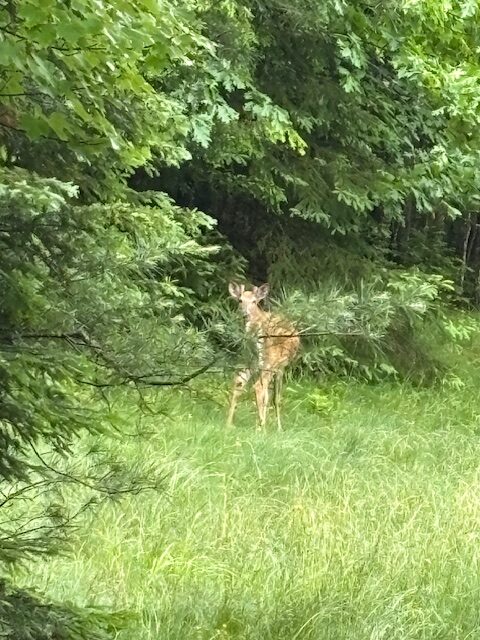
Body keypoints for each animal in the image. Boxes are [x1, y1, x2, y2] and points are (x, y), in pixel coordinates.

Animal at [227, 283, 300, 431]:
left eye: (254, 301)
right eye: (240, 300)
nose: (245, 314)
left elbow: (267, 397)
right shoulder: (280, 367)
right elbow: (275, 398)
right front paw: (279, 428)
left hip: (248, 359)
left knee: (239, 382)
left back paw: (229, 425)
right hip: (268, 361)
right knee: (259, 388)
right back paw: (261, 428)